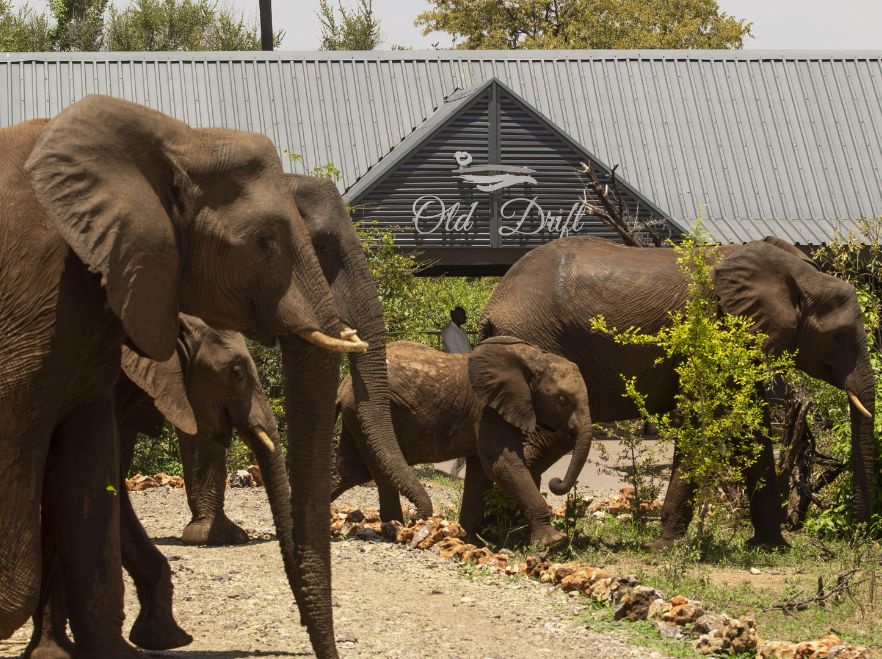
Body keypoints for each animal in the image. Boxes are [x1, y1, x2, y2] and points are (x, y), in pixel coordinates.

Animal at [331, 338, 594, 548]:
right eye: (562, 400)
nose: (556, 481)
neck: (533, 358)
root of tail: (342, 385)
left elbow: (480, 472)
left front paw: (470, 542)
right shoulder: (489, 411)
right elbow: (502, 465)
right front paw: (554, 543)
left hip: (356, 419)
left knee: (351, 470)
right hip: (365, 414)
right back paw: (396, 531)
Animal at [478, 236, 876, 549]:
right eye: (838, 337)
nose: (857, 538)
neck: (795, 273)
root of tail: (494, 305)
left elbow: (749, 425)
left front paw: (770, 546)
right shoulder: (712, 327)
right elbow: (697, 417)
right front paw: (666, 546)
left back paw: (504, 530)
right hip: (540, 340)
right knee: (541, 439)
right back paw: (511, 533)